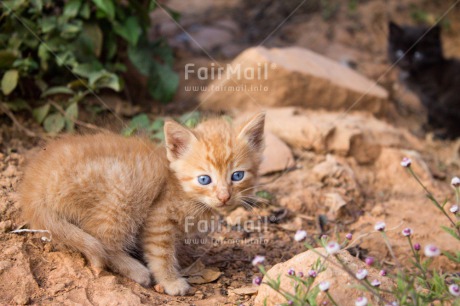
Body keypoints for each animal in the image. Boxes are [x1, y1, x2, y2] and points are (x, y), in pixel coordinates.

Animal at [18, 113, 264, 296]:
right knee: (102, 240)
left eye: (237, 176)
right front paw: (171, 281)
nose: (224, 197)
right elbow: (160, 254)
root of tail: (34, 187)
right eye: (204, 179)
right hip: (124, 187)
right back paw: (136, 270)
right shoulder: (158, 219)